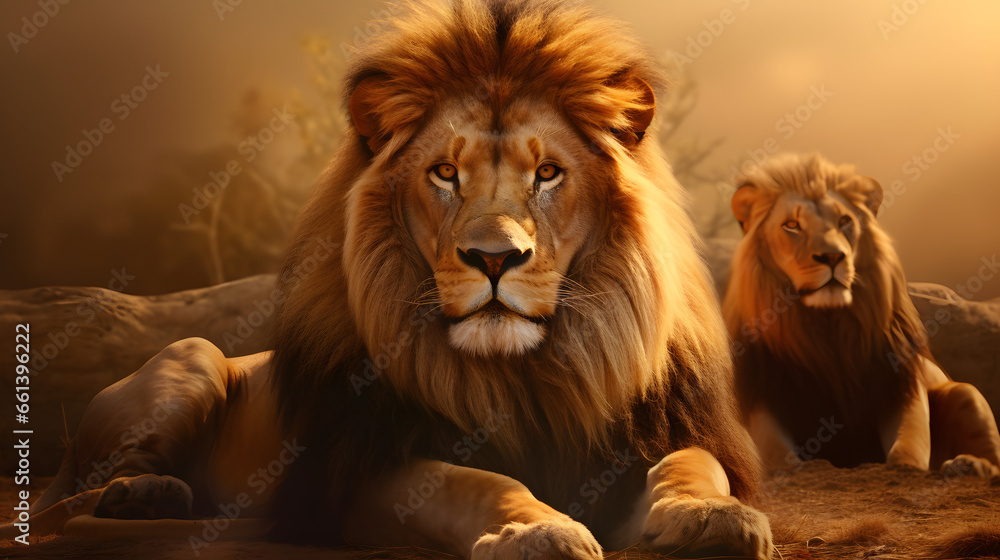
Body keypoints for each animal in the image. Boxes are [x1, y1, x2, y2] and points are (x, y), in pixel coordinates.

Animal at [8, 1, 772, 558]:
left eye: (549, 173)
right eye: (445, 173)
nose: (495, 257)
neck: (525, 378)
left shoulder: (641, 443)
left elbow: (692, 461)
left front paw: (712, 514)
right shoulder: (364, 476)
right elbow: (472, 480)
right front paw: (535, 528)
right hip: (190, 358)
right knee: (79, 497)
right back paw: (145, 497)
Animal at [723, 152, 1000, 479]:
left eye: (845, 221)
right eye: (791, 225)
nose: (833, 257)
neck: (826, 325)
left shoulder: (900, 382)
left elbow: (907, 448)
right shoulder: (761, 393)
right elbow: (777, 457)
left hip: (966, 394)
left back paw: (968, 465)